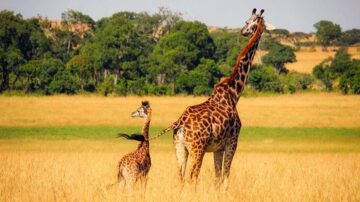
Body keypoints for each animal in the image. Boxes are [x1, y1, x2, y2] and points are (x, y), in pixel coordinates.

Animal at [153, 8, 270, 186]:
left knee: (181, 178)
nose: (243, 31)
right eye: (247, 21)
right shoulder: (232, 142)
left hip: (180, 148)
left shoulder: (218, 148)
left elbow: (217, 178)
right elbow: (225, 178)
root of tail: (179, 122)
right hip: (198, 149)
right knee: (192, 177)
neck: (234, 93)